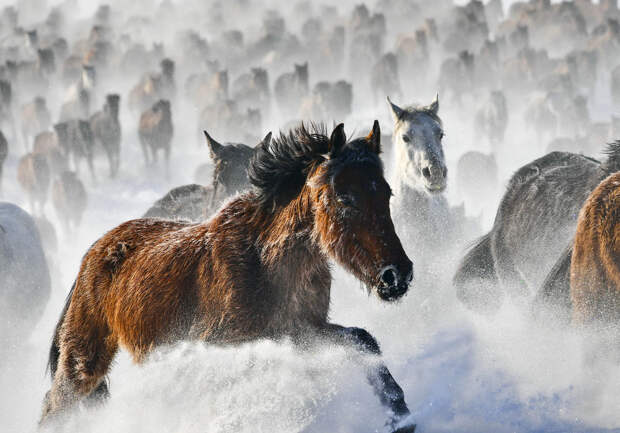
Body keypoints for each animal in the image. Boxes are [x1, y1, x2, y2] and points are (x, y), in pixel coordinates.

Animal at [38, 121, 416, 432]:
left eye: (386, 192)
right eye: (345, 198)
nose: (396, 275)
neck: (264, 261)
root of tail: (93, 254)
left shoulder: (299, 332)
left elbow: (363, 340)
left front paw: (400, 416)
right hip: (83, 362)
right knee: (54, 408)